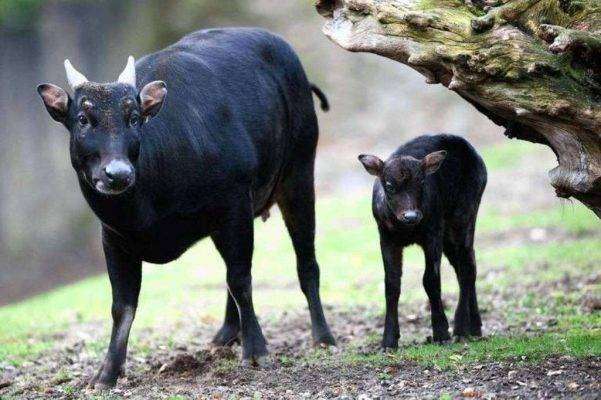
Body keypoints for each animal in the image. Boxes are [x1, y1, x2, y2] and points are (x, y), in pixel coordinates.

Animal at [38, 27, 336, 388]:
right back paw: (226, 334)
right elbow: (122, 306)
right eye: (82, 118)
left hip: (299, 175)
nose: (117, 174)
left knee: (305, 262)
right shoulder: (113, 238)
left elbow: (241, 279)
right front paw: (107, 372)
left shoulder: (234, 205)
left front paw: (256, 350)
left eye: (133, 117)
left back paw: (323, 337)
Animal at [358, 134, 486, 346]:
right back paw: (474, 327)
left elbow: (431, 280)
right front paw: (389, 340)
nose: (411, 215)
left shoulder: (432, 233)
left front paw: (441, 333)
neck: (407, 229)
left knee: (467, 267)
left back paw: (460, 328)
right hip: (448, 236)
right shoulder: (386, 238)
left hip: (464, 216)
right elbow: (391, 284)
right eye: (389, 186)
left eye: (421, 182)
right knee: (466, 266)